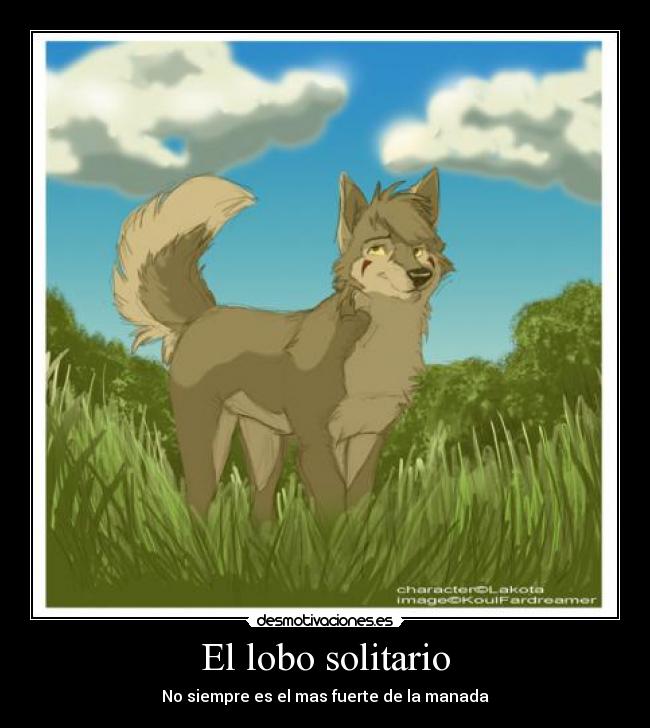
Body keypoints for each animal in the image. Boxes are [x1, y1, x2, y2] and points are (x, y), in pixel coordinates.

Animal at [113, 168, 453, 521]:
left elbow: (357, 507)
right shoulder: (315, 439)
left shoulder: (367, 437)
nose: (419, 274)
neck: (379, 351)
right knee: (198, 500)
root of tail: (203, 315)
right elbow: (334, 507)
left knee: (259, 508)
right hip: (208, 439)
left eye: (420, 249)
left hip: (264, 442)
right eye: (377, 250)